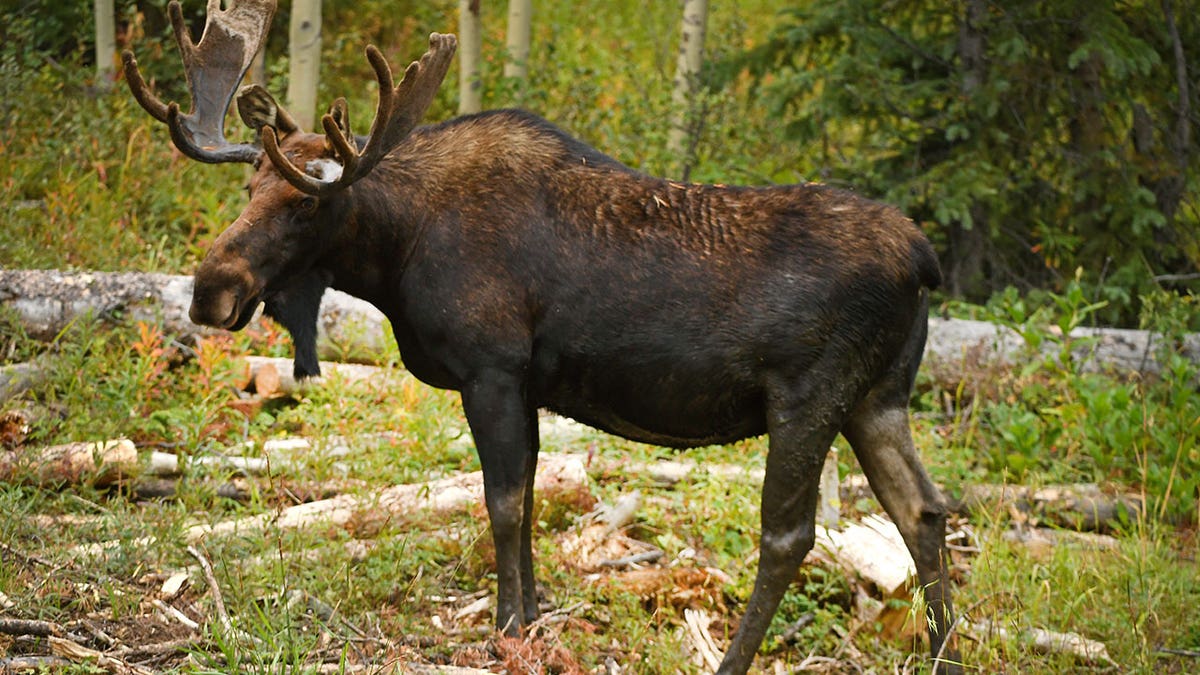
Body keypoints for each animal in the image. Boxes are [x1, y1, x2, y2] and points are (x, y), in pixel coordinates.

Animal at [121, 2, 960, 667]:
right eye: (249, 185)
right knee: (923, 510)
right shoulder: (525, 384)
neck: (397, 251)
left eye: (304, 204)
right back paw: (946, 653)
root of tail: (925, 259)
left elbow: (500, 502)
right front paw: (531, 618)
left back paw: (732, 659)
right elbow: (525, 500)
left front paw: (506, 629)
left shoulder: (490, 368)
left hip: (808, 397)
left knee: (789, 534)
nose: (212, 289)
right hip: (878, 397)